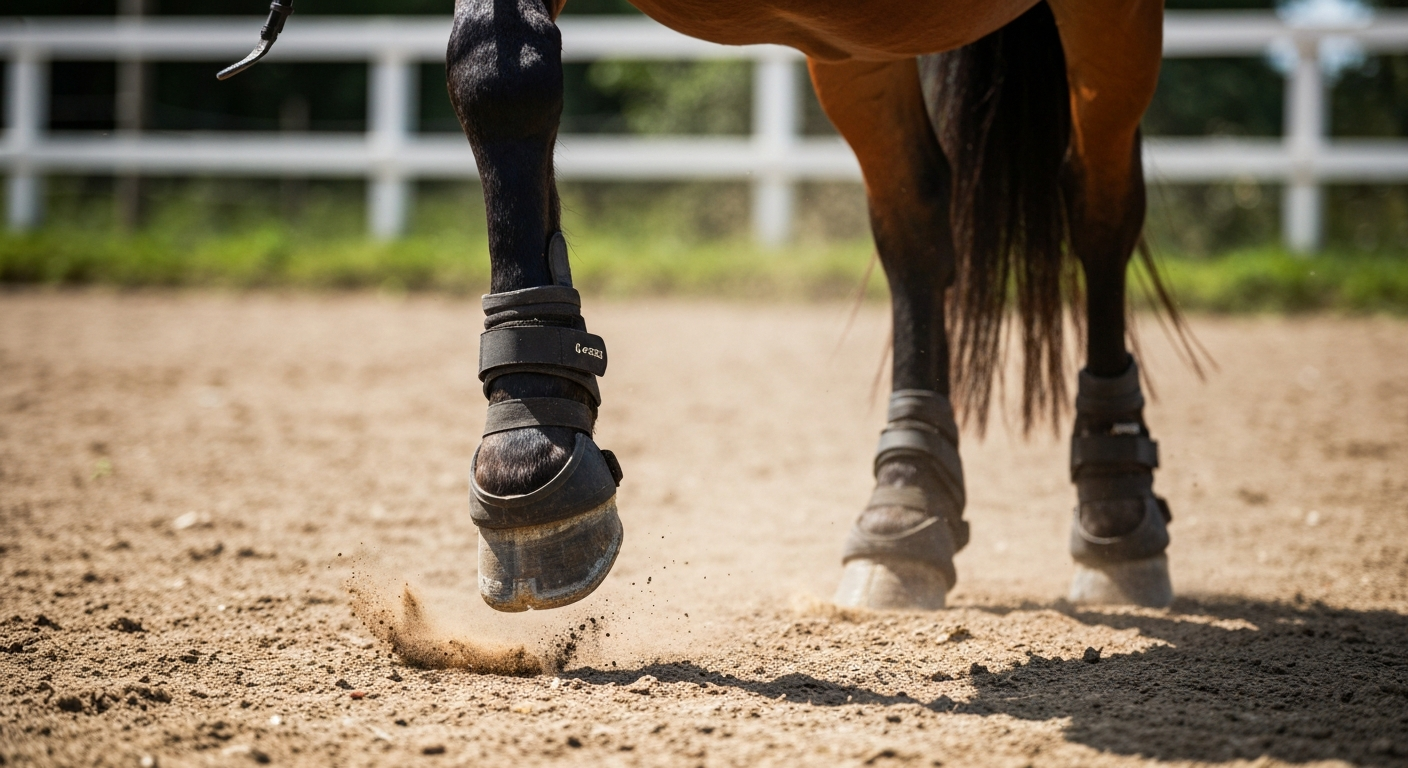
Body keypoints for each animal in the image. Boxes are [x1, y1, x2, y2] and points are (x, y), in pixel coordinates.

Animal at [222, 0, 1183, 613]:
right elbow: (501, 71)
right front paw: (526, 452)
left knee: (1098, 204)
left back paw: (1115, 512)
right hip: (859, 45)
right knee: (916, 219)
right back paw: (904, 515)